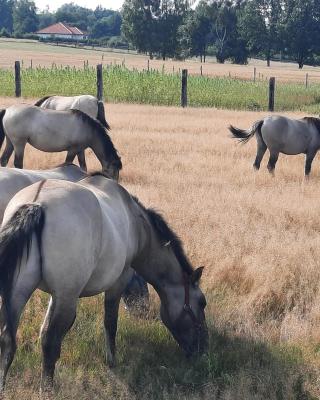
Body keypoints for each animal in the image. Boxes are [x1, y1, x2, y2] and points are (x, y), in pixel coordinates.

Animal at [0, 174, 208, 394]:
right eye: (201, 302)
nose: (203, 348)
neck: (137, 225)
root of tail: (36, 204)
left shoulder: (57, 296)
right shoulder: (116, 283)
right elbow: (110, 322)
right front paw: (111, 361)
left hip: (18, 293)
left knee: (7, 340)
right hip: (64, 296)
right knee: (49, 341)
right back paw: (47, 390)